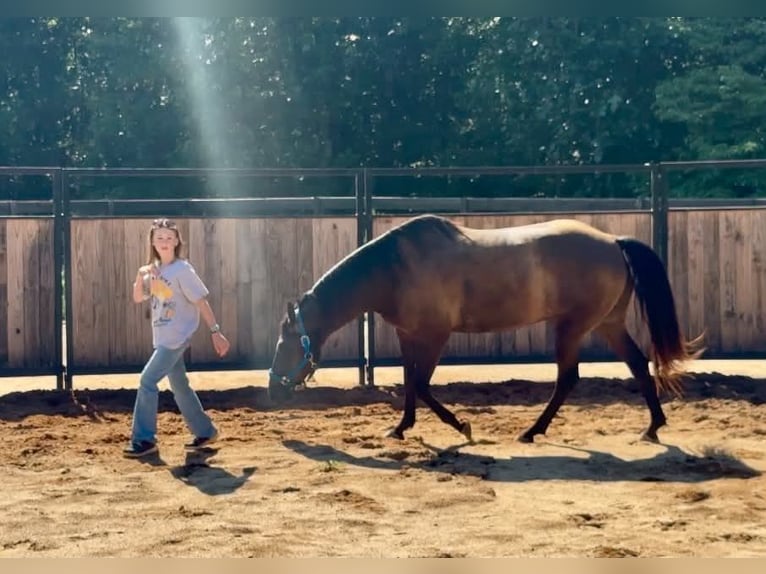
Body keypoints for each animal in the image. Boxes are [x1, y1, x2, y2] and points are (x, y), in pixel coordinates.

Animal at [267, 214, 703, 444]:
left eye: (287, 343)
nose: (273, 389)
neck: (394, 270)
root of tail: (613, 242)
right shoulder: (409, 336)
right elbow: (409, 384)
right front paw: (400, 428)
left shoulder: (436, 336)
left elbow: (422, 386)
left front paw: (462, 426)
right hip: (608, 324)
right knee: (638, 364)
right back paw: (652, 427)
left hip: (573, 327)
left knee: (568, 378)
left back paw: (532, 431)